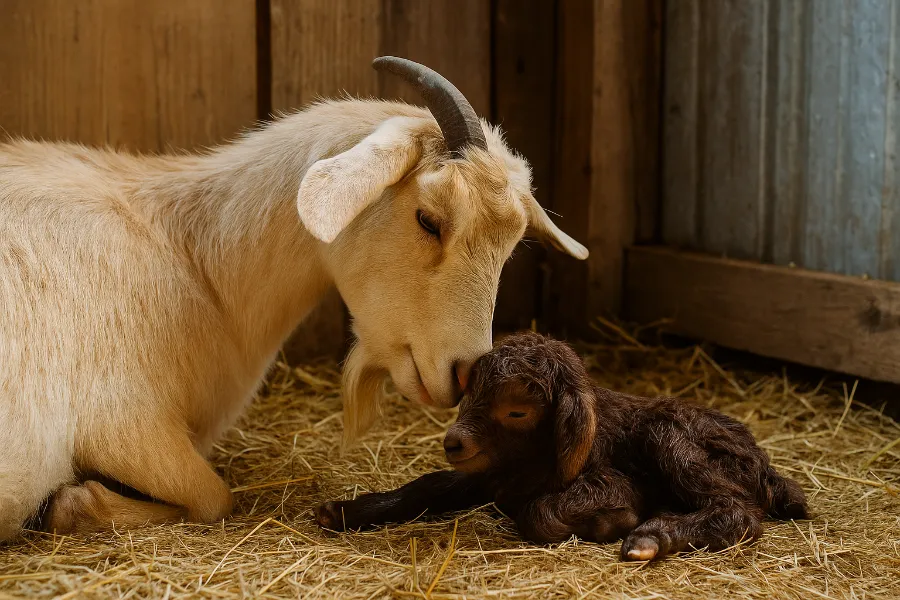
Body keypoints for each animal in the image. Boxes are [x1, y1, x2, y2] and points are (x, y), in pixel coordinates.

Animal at [0, 58, 588, 542]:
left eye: (511, 244)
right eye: (428, 219)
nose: (465, 373)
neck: (195, 258)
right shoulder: (122, 418)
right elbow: (214, 497)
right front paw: (70, 501)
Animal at [315, 332, 809, 561]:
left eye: (517, 411)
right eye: (469, 393)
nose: (454, 442)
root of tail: (767, 469)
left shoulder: (611, 480)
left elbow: (539, 512)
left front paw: (612, 522)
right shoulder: (488, 475)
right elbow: (428, 485)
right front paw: (344, 511)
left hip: (672, 435)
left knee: (737, 511)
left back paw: (650, 536)